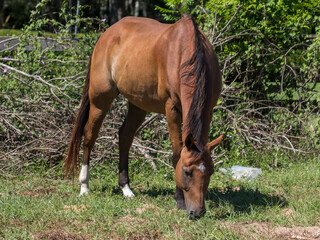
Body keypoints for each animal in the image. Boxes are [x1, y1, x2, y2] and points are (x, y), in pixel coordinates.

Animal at [65, 15, 222, 218]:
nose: (198, 212)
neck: (187, 53)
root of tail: (107, 34)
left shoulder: (208, 110)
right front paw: (179, 200)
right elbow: (177, 153)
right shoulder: (171, 108)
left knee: (125, 136)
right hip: (100, 100)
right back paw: (84, 186)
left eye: (211, 171)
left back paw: (126, 188)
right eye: (187, 172)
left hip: (138, 105)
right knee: (89, 136)